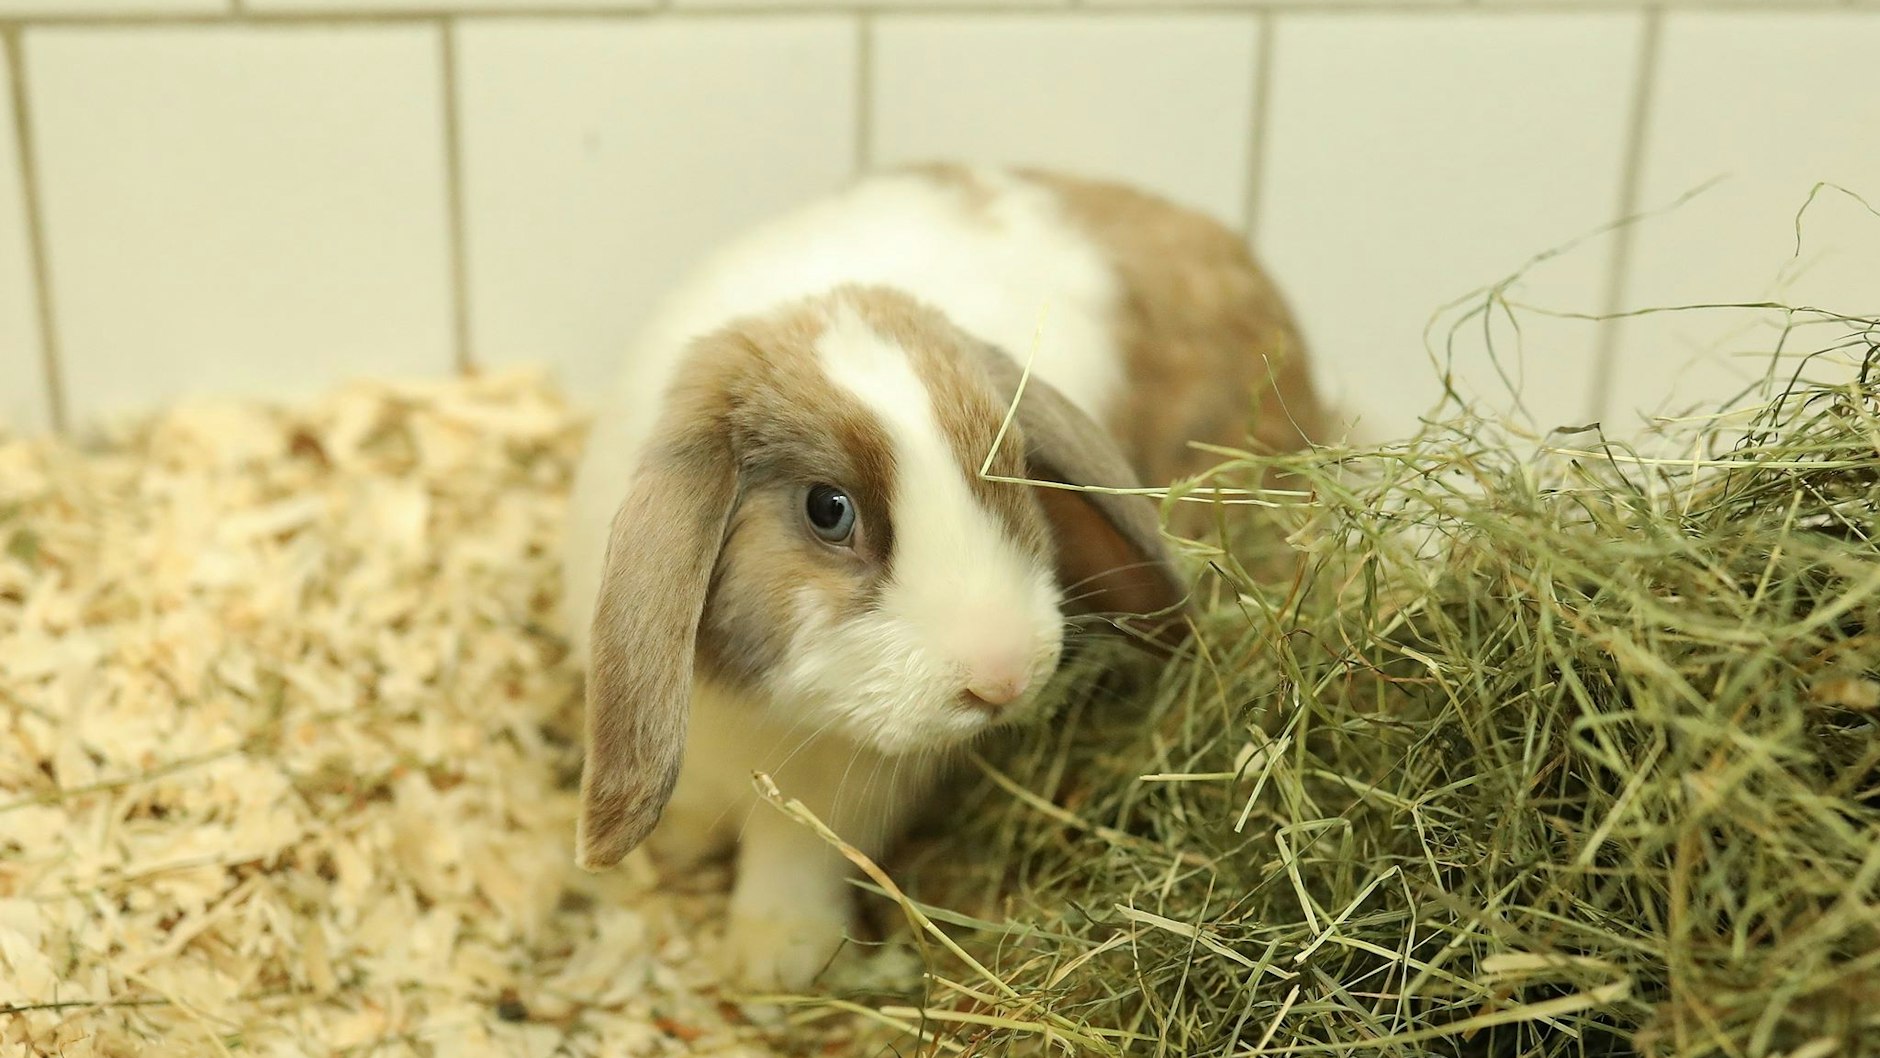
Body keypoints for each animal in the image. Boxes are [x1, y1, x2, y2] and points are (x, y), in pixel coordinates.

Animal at [560, 163, 1324, 991]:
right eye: (828, 509)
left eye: (1015, 470)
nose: (1003, 678)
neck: (761, 709)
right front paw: (680, 853)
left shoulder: (834, 803)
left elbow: (794, 861)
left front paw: (778, 963)